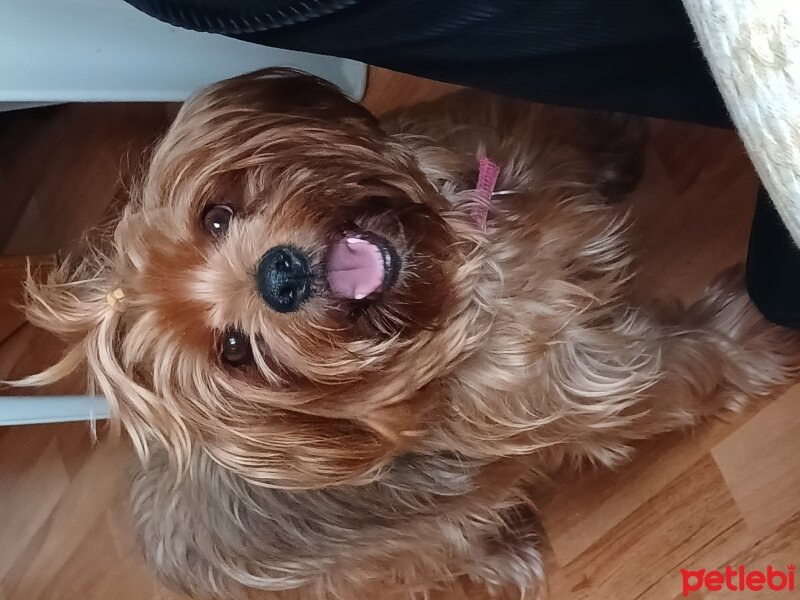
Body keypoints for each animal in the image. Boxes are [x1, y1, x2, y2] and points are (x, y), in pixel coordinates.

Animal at [14, 69, 800, 596]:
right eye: (234, 351)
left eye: (216, 216)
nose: (279, 278)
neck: (459, 262)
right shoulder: (585, 378)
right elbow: (687, 363)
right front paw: (758, 331)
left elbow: (564, 143)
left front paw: (612, 133)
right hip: (402, 551)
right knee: (446, 550)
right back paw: (507, 552)